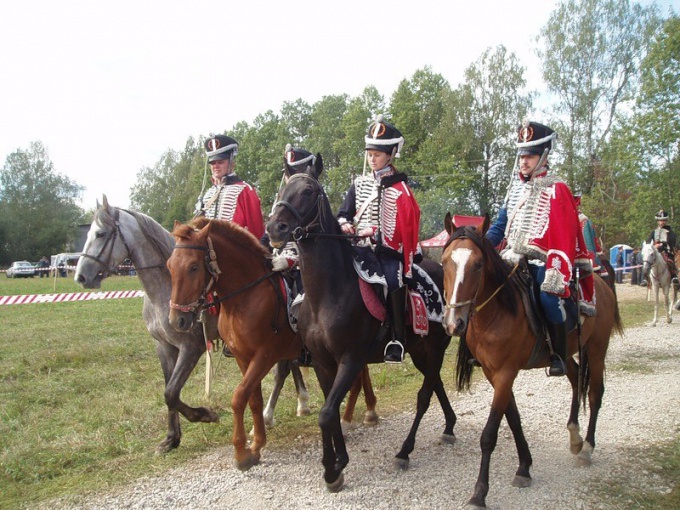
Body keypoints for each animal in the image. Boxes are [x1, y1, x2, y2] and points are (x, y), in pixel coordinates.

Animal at [73, 196, 312, 454]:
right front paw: (171, 438)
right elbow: (169, 389)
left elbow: (171, 392)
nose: (81, 276)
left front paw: (205, 415)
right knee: (290, 366)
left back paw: (271, 413)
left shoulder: (192, 347)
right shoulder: (164, 347)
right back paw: (301, 404)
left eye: (101, 234)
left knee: (283, 369)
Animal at [166, 218, 378, 470]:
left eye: (193, 267)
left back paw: (350, 418)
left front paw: (241, 453)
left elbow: (239, 397)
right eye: (169, 266)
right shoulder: (243, 358)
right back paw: (363, 412)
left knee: (357, 377)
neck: (246, 298)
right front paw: (257, 445)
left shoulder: (265, 356)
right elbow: (254, 400)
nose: (177, 320)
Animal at [266, 160, 456, 494]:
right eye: (283, 189)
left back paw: (405, 451)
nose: (276, 228)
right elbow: (329, 412)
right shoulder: (323, 363)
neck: (327, 293)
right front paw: (337, 462)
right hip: (421, 352)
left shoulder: (351, 359)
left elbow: (327, 412)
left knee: (425, 394)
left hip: (433, 349)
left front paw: (332, 468)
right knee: (436, 385)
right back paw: (449, 426)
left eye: (308, 191)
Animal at [440, 213, 620, 508]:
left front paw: (479, 493)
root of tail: (602, 283)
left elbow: (490, 433)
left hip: (596, 348)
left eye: (478, 265)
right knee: (575, 380)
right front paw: (524, 467)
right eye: (444, 262)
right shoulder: (493, 374)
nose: (454, 323)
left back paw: (587, 448)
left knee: (595, 393)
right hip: (566, 354)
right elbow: (513, 419)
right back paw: (574, 437)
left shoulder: (505, 373)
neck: (498, 312)